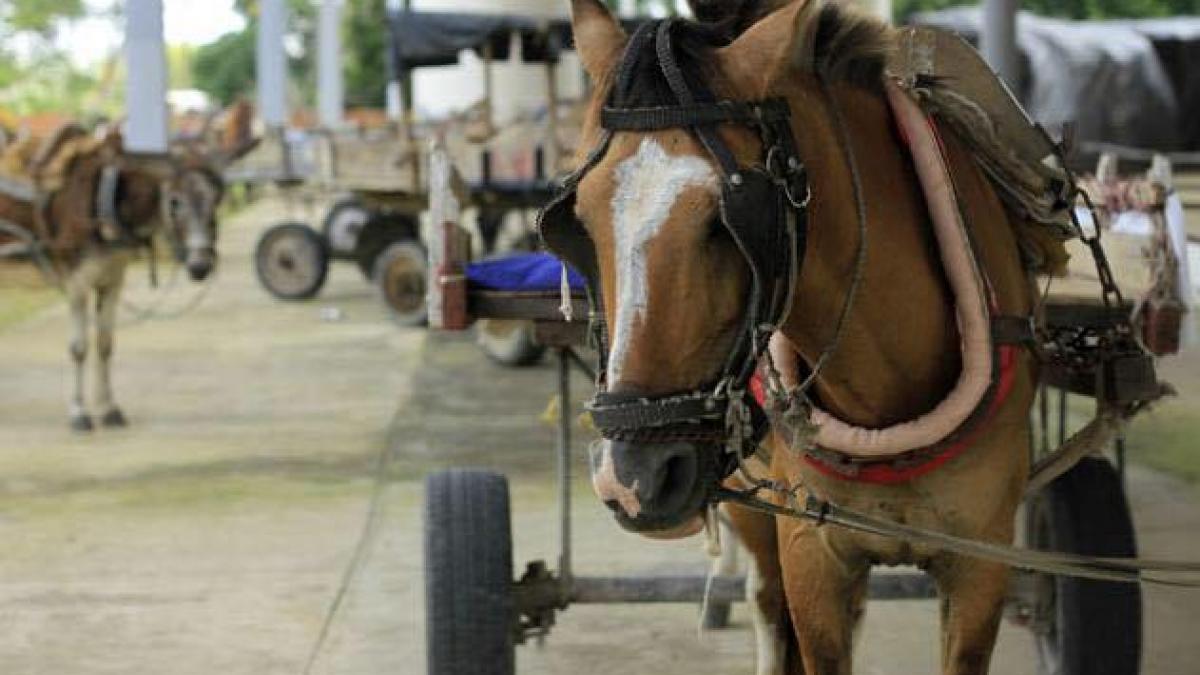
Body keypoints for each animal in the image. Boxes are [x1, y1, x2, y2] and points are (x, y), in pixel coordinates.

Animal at [1, 124, 226, 427]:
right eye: (175, 202)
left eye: (216, 199)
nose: (201, 265)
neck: (105, 198)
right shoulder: (77, 282)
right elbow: (79, 347)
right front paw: (79, 413)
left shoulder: (112, 279)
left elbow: (105, 344)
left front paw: (109, 409)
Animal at [561, 2, 1041, 667]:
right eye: (576, 220)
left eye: (727, 223)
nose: (633, 479)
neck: (884, 392)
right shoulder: (810, 553)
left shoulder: (982, 562)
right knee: (766, 599)